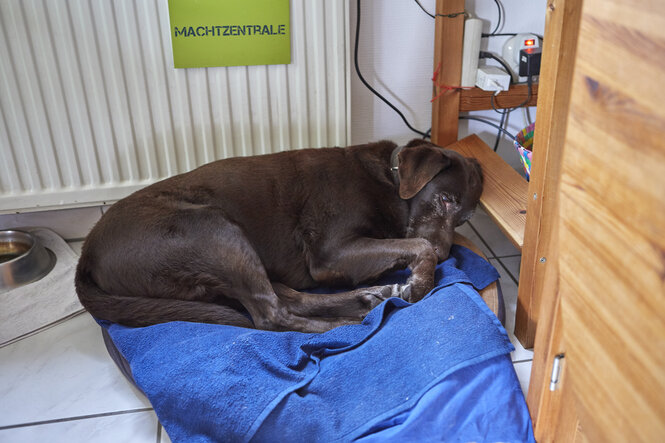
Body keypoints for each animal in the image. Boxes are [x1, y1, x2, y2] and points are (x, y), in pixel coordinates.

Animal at [75, 140, 482, 332]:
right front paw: (420, 282)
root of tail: (86, 253)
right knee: (271, 316)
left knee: (288, 299)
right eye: (445, 199)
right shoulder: (330, 253)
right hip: (213, 229)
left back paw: (369, 298)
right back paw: (347, 325)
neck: (389, 182)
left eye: (465, 219)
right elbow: (419, 244)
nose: (447, 254)